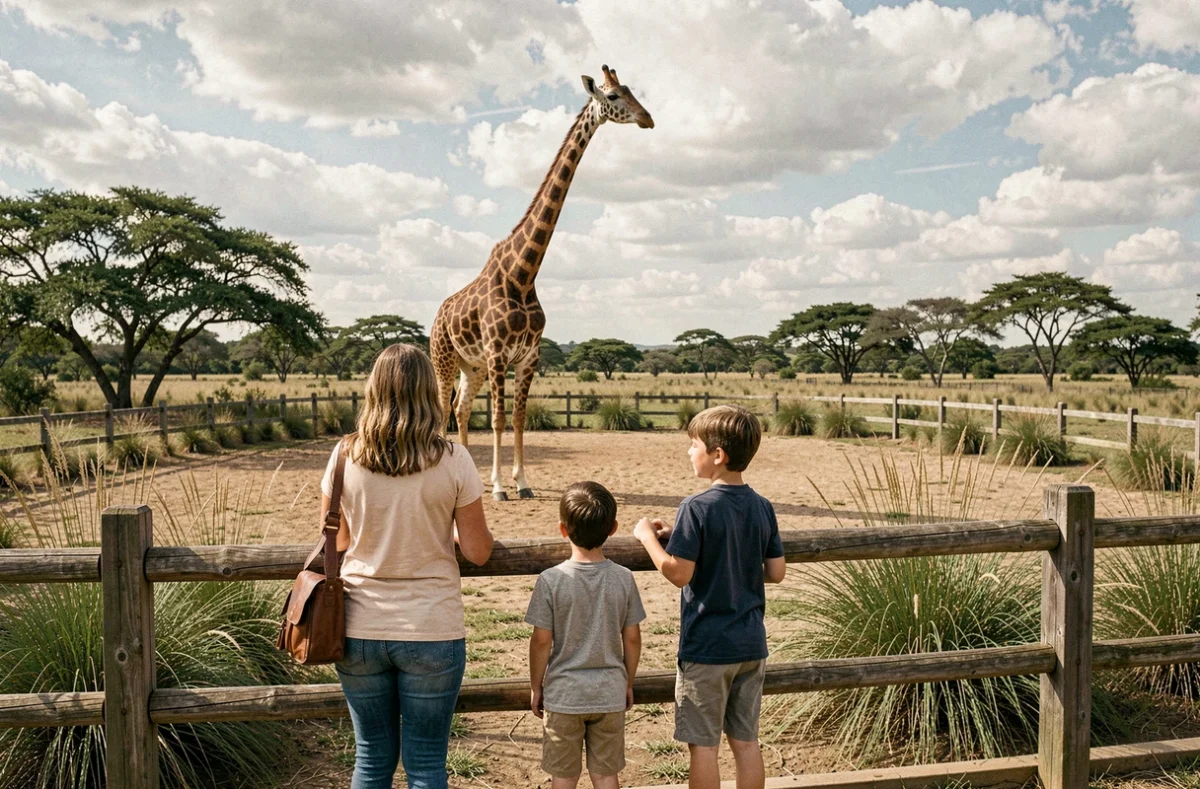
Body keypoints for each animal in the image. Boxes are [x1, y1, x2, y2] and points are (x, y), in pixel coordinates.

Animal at [430, 64, 654, 501]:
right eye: (614, 96)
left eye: (631, 90)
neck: (523, 273)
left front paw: (522, 483)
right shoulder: (499, 353)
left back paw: (472, 473)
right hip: (444, 358)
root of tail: (437, 315)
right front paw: (501, 487)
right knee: (444, 409)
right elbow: (499, 420)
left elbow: (518, 418)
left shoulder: (528, 356)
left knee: (461, 409)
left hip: (471, 366)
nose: (648, 119)